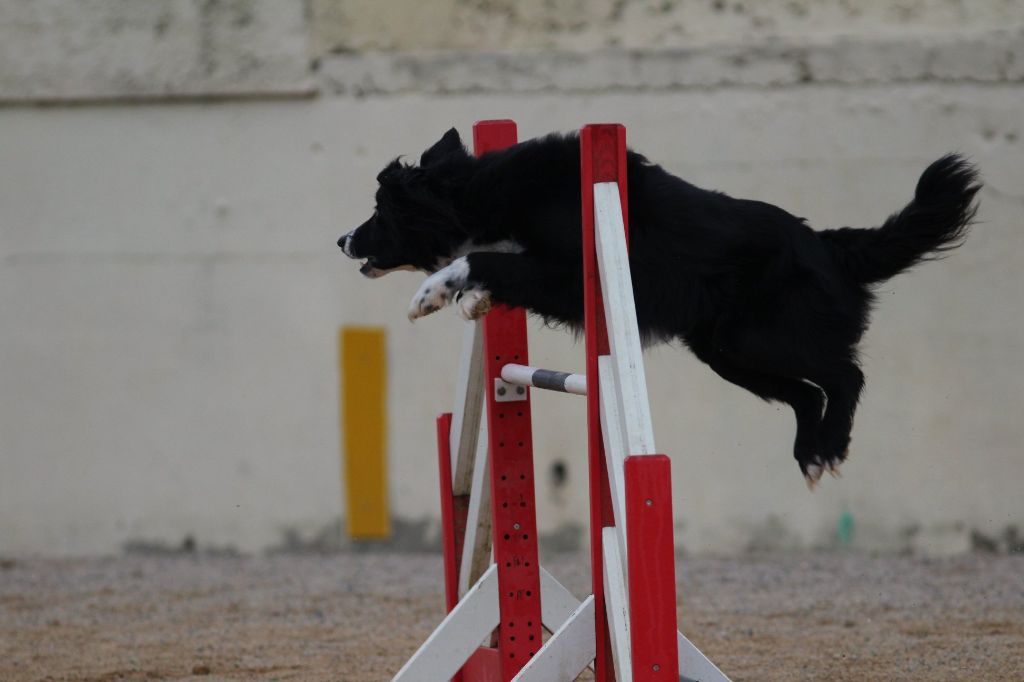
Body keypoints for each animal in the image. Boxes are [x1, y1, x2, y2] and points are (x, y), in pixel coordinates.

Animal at [339, 127, 978, 483]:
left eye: (379, 210)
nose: (342, 240)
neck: (477, 195)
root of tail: (825, 243)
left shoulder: (566, 274)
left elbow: (484, 260)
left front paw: (432, 293)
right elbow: (495, 268)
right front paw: (470, 301)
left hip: (764, 337)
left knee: (845, 375)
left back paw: (832, 448)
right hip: (728, 353)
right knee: (805, 395)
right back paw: (811, 455)